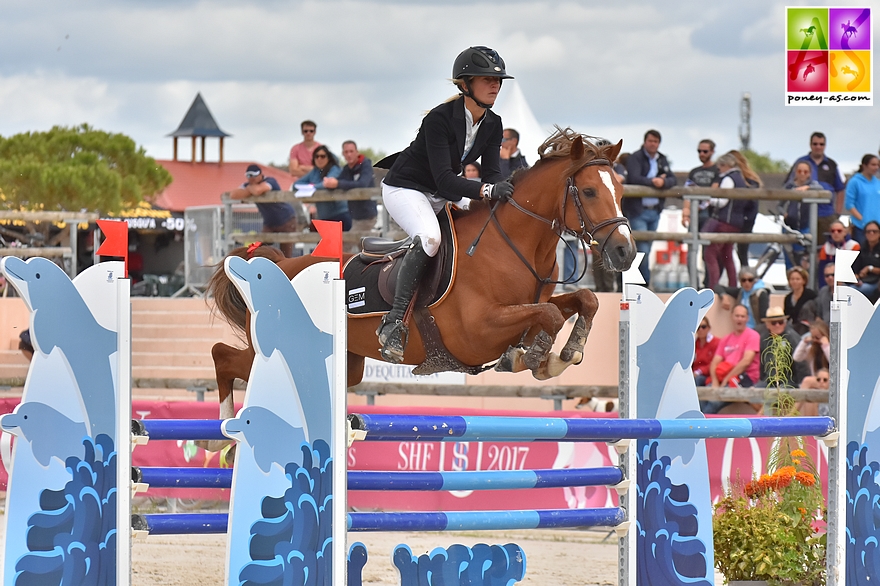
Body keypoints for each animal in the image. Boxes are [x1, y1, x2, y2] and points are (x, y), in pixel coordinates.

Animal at [206, 126, 632, 420]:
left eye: (621, 191)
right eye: (589, 192)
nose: (625, 252)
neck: (513, 245)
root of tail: (278, 265)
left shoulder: (528, 304)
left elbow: (582, 300)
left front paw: (563, 354)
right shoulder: (478, 330)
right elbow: (551, 314)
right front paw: (538, 357)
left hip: (346, 363)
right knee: (222, 356)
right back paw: (224, 436)